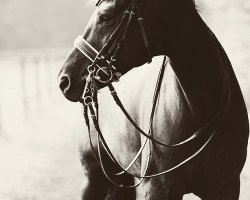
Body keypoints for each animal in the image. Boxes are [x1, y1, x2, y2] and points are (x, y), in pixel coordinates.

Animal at [58, 0, 248, 199]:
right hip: (93, 178)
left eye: (106, 17)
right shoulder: (157, 189)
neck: (200, 110)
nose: (64, 79)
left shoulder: (225, 187)